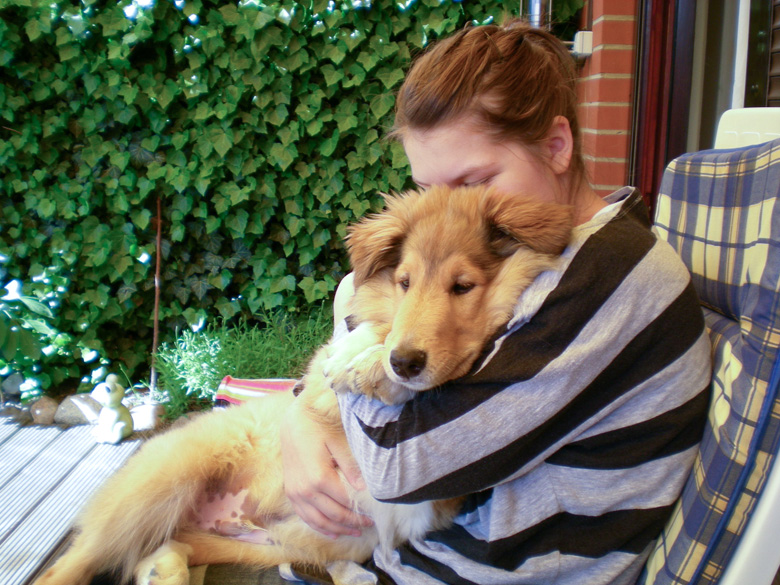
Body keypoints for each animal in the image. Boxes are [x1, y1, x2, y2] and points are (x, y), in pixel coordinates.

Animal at [33, 184, 572, 585]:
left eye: (463, 286)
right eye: (404, 282)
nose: (404, 362)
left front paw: (374, 364)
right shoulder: (319, 390)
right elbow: (343, 361)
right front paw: (360, 356)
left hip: (274, 542)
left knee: (165, 544)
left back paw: (167, 569)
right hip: (163, 481)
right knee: (74, 563)